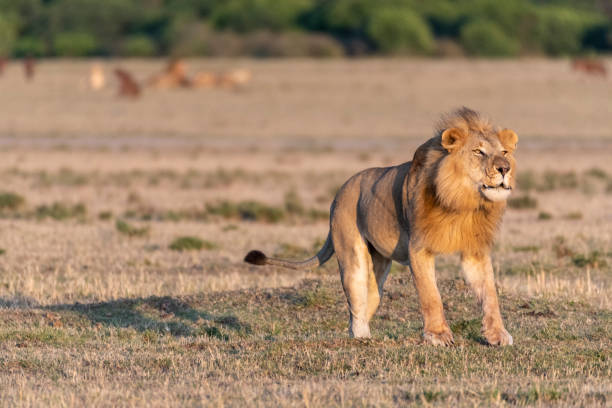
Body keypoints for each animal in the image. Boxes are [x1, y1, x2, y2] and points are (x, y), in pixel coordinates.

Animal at [244, 107, 516, 346]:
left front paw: (498, 335)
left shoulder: (475, 252)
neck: (463, 203)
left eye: (504, 152)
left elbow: (490, 295)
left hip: (380, 266)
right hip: (352, 258)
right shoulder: (418, 249)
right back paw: (362, 338)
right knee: (355, 304)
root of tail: (339, 192)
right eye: (478, 152)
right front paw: (438, 336)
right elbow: (431, 296)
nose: (505, 168)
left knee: (369, 301)